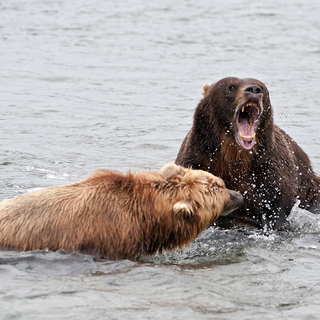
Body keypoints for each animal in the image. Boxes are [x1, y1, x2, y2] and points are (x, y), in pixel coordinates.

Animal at [175, 77, 320, 230]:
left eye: (262, 87)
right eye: (231, 86)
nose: (254, 90)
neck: (236, 154)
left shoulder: (268, 166)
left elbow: (277, 202)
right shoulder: (200, 160)